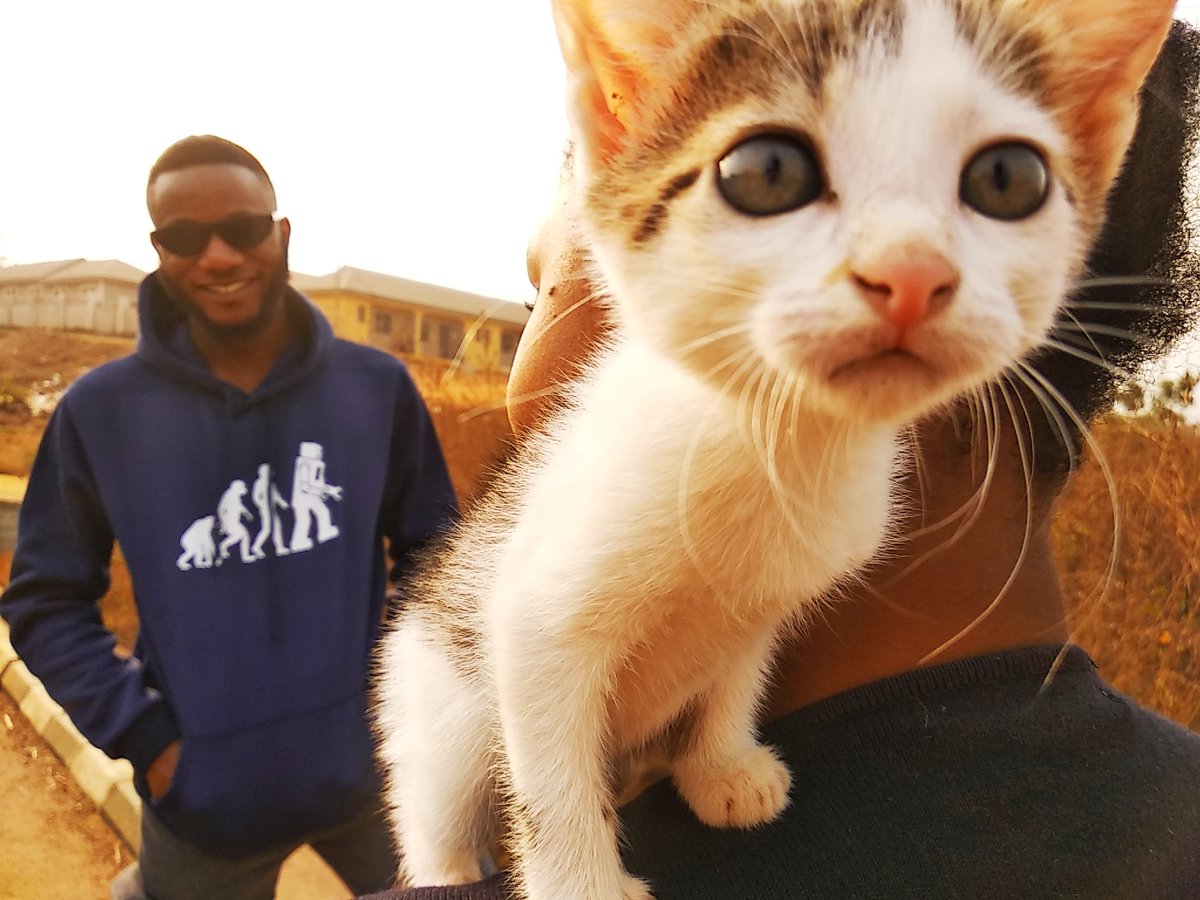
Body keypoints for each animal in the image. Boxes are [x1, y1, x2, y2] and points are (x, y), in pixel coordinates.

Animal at [372, 1, 1171, 900]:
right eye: (768, 173)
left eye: (1008, 181)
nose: (909, 272)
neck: (776, 447)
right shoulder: (533, 615)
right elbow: (551, 772)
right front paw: (583, 878)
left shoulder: (776, 595)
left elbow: (740, 668)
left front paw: (719, 765)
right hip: (431, 705)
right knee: (436, 814)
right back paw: (447, 860)